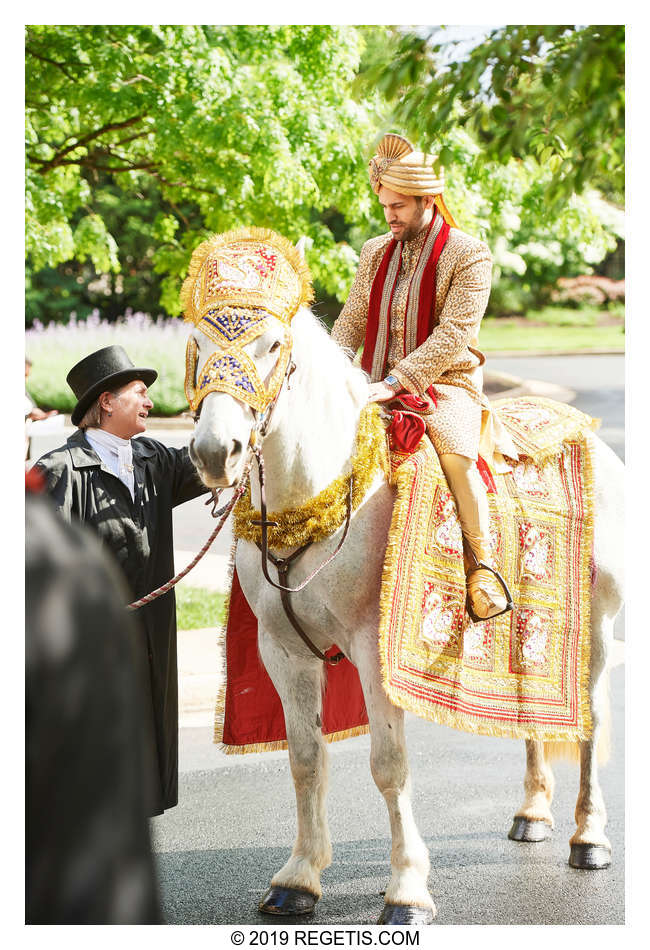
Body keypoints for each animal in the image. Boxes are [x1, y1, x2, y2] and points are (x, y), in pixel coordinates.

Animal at [186, 308, 624, 924]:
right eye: (197, 342)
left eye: (272, 344)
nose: (213, 452)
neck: (318, 494)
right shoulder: (283, 651)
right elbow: (305, 760)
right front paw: (299, 877)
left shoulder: (375, 653)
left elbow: (389, 765)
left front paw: (407, 890)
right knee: (532, 711)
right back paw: (533, 812)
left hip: (598, 626)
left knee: (591, 721)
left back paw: (589, 838)